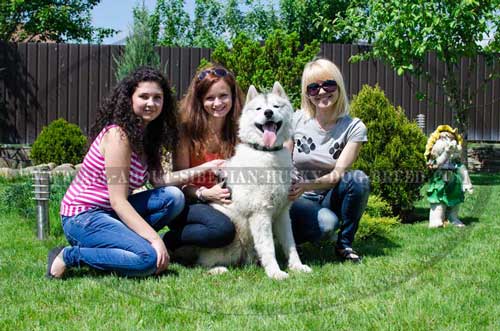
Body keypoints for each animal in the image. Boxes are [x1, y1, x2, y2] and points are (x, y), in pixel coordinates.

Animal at [174, 82, 310, 280]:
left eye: (276, 106)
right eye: (259, 108)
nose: (268, 113)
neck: (267, 153)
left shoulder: (282, 214)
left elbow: (290, 244)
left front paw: (297, 267)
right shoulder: (260, 214)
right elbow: (268, 247)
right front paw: (275, 272)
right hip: (231, 239)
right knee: (198, 265)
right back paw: (217, 269)